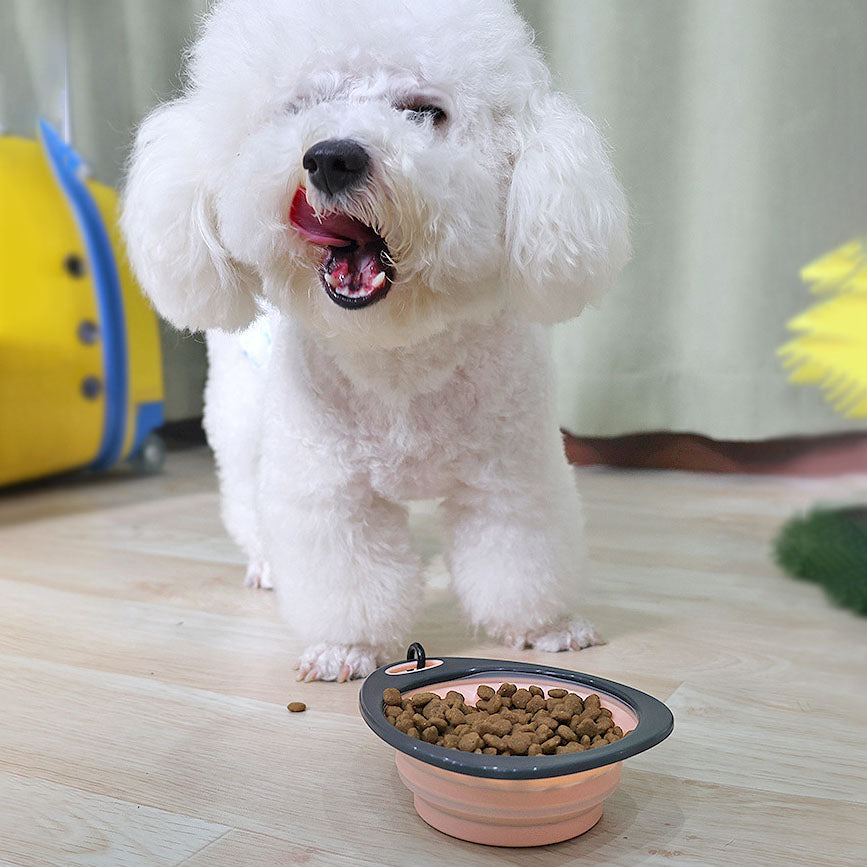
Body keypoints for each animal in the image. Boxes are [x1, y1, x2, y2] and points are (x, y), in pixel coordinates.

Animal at [120, 0, 632, 684]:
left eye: (424, 111)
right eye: (301, 106)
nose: (331, 157)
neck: (397, 352)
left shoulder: (511, 473)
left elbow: (519, 554)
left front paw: (545, 626)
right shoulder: (329, 488)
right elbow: (346, 576)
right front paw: (348, 649)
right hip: (242, 415)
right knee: (247, 496)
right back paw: (266, 564)